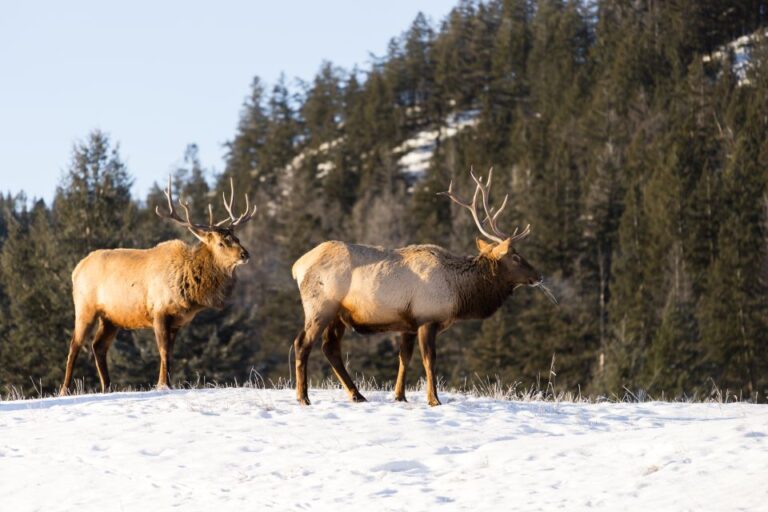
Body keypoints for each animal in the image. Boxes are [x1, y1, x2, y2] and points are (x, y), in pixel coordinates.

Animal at [60, 176, 256, 396]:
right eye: (221, 243)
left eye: (237, 238)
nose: (245, 254)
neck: (189, 292)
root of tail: (76, 270)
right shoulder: (159, 311)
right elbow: (163, 350)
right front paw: (162, 385)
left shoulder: (177, 321)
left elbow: (170, 351)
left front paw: (167, 382)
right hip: (85, 307)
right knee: (75, 344)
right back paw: (65, 390)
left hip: (110, 317)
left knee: (98, 346)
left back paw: (107, 387)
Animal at [292, 168, 556, 408]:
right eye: (516, 256)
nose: (539, 275)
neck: (460, 294)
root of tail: (297, 266)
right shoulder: (427, 318)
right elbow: (430, 361)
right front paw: (434, 399)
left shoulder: (407, 324)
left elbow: (404, 359)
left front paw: (400, 396)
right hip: (321, 306)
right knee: (302, 343)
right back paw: (304, 397)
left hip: (338, 315)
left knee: (330, 348)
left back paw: (357, 395)